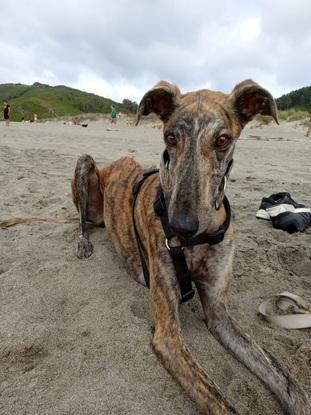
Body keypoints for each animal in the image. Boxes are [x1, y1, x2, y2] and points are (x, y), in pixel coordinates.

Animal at [71, 79, 311, 414]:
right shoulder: (167, 334)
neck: (199, 240)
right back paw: (82, 244)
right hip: (84, 164)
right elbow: (220, 402)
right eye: (170, 137)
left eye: (222, 140)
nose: (182, 226)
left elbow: (281, 375)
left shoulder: (219, 313)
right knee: (81, 221)